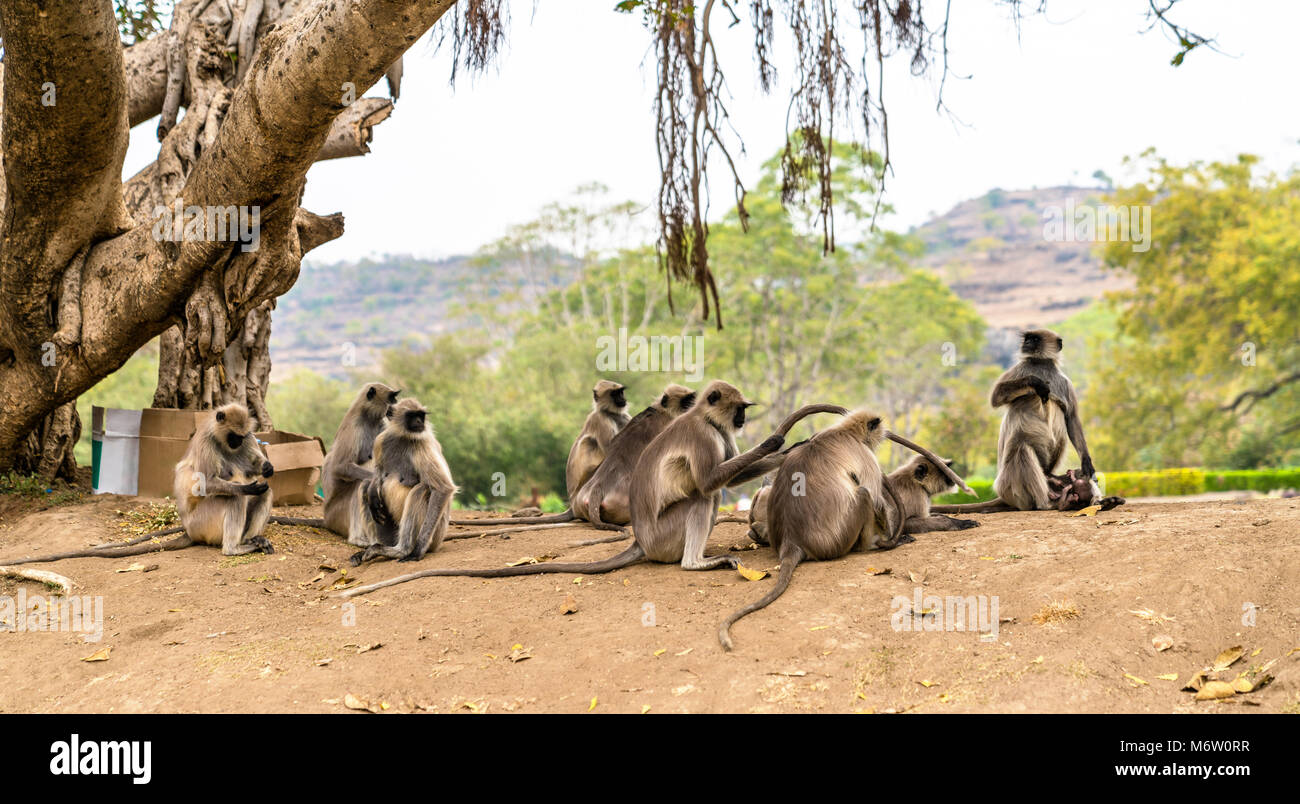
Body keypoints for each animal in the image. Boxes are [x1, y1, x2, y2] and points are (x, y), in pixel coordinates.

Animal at [0, 400, 274, 564]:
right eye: (233, 436)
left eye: (241, 437)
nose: (238, 442)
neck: (224, 443)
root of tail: (188, 530)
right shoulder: (208, 442)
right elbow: (206, 485)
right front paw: (247, 485)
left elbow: (258, 471)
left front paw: (267, 467)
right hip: (203, 523)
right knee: (236, 498)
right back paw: (234, 548)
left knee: (265, 493)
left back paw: (253, 539)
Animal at [351, 395, 457, 564]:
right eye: (411, 416)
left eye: (421, 415)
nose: (420, 422)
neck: (403, 437)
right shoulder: (381, 440)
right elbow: (378, 471)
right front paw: (374, 490)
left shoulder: (422, 443)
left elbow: (443, 488)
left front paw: (418, 550)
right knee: (364, 487)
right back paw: (374, 547)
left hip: (436, 535)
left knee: (421, 489)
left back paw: (402, 550)